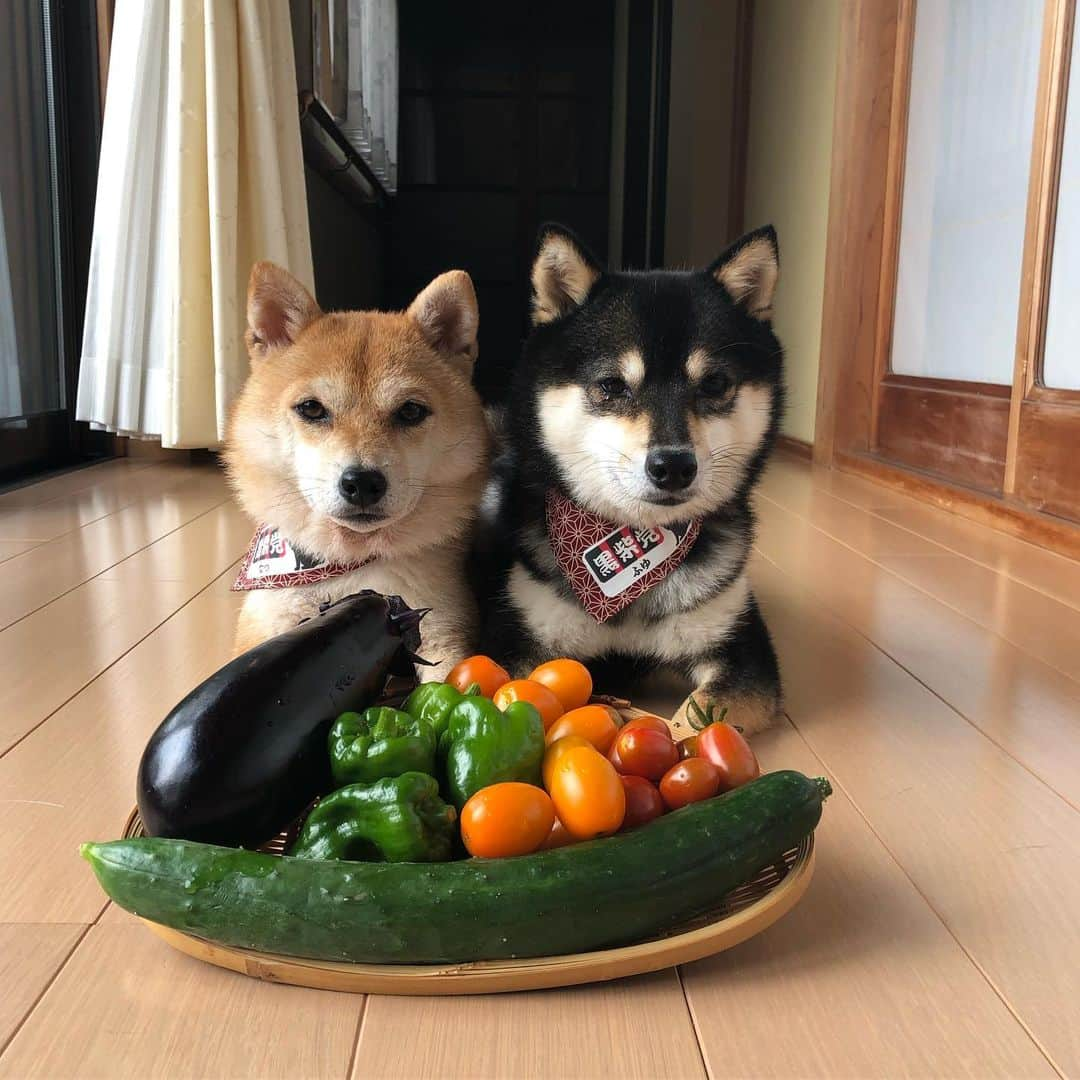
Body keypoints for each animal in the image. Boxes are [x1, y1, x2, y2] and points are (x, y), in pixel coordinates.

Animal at [225, 260, 492, 673]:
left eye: (411, 411)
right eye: (311, 408)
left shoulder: (442, 626)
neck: (346, 562)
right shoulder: (265, 622)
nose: (363, 482)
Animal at [481, 224, 786, 738]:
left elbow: (695, 721)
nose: (674, 466)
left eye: (715, 384)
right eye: (611, 386)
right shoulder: (519, 639)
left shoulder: (742, 652)